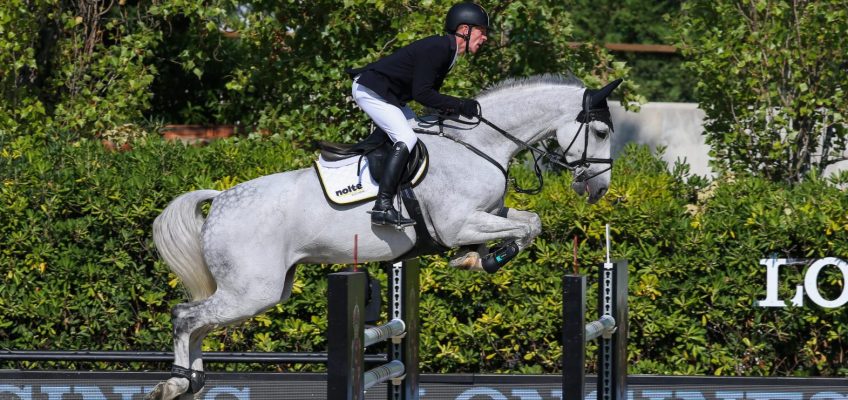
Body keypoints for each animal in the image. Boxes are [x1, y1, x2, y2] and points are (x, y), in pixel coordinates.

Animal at [147, 74, 624, 396]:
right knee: (185, 317)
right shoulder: (457, 223)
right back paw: (175, 383)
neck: (481, 145)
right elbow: (530, 225)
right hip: (251, 291)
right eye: (601, 132)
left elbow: (526, 219)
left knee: (198, 323)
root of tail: (220, 200)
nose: (599, 189)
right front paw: (484, 258)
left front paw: (477, 257)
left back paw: (191, 381)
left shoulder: (487, 212)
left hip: (262, 291)